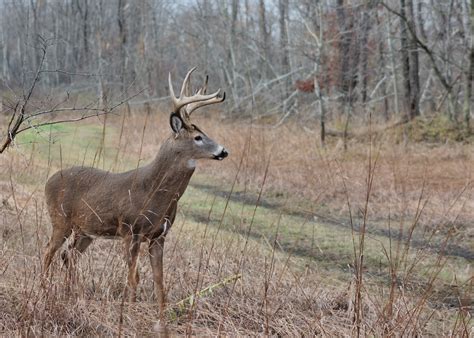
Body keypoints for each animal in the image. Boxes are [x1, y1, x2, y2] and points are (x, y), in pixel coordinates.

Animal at [43, 66, 229, 328]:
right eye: (197, 137)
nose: (223, 151)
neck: (154, 193)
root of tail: (48, 180)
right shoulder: (130, 230)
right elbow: (134, 277)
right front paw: (129, 316)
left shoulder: (159, 236)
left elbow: (159, 281)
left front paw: (161, 320)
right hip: (60, 219)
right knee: (49, 252)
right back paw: (43, 289)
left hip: (85, 231)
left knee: (68, 255)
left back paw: (71, 295)